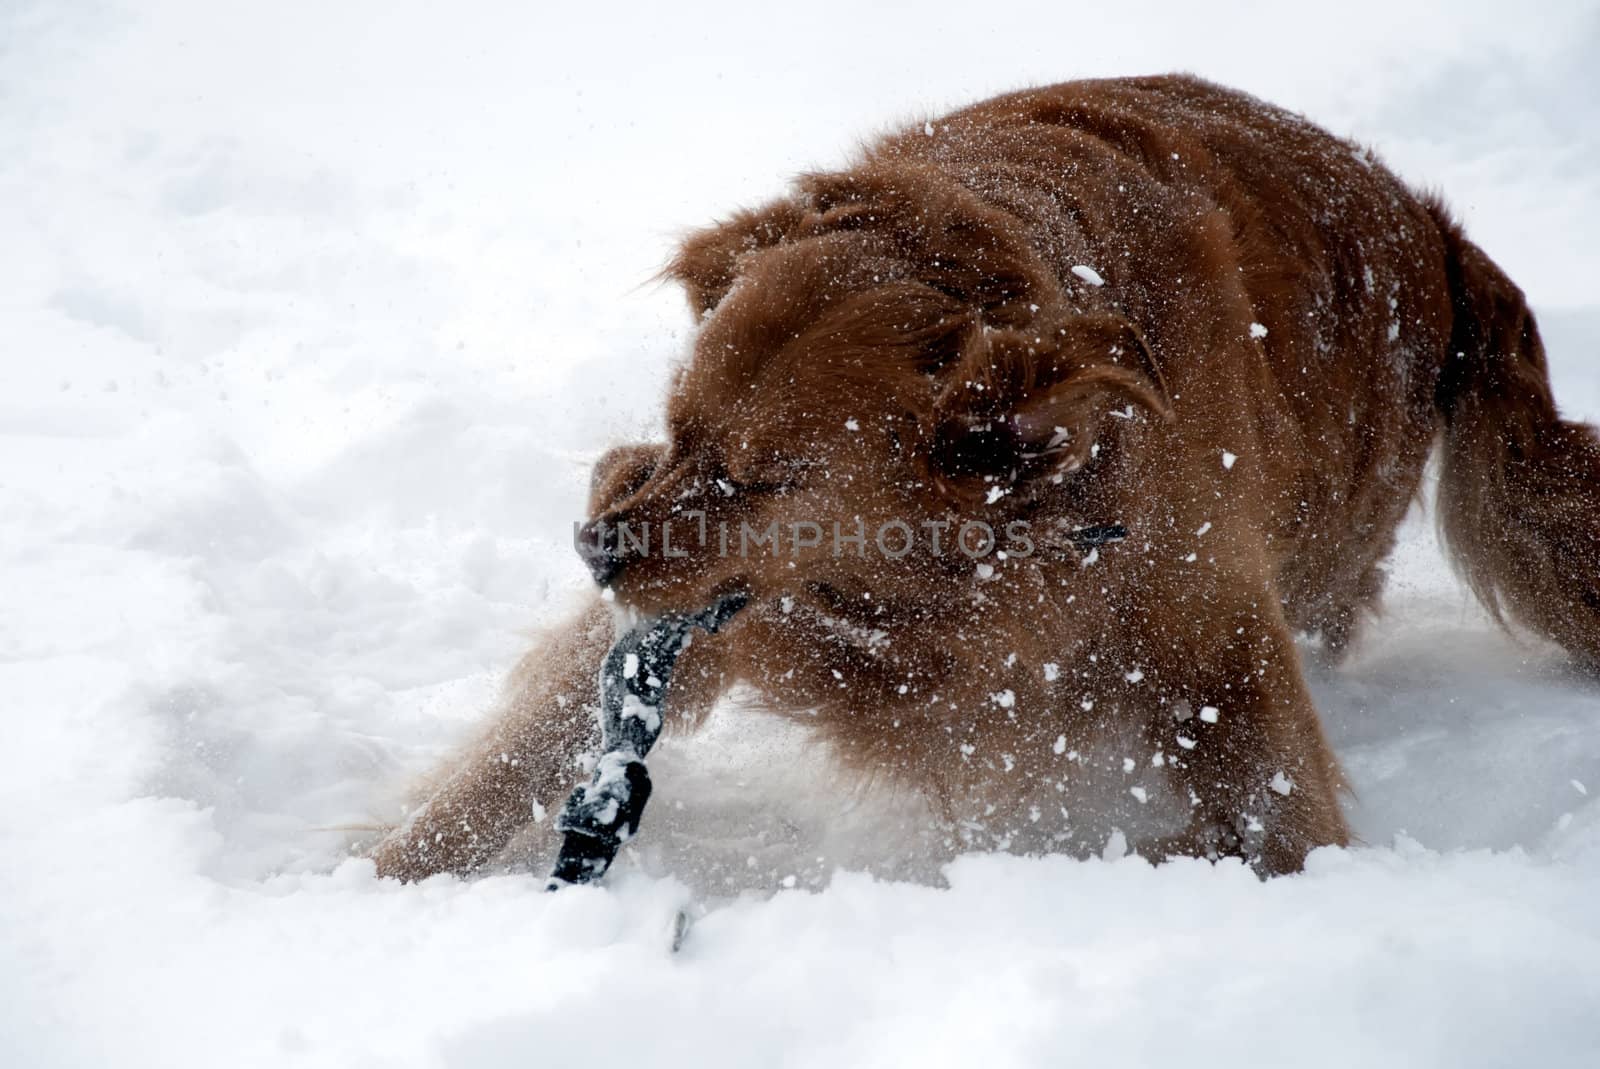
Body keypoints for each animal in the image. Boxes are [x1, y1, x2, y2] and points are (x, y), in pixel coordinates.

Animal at [371, 73, 1600, 876]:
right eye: (675, 426)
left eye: (768, 479)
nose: (597, 548)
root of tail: (1436, 229)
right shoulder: (722, 611)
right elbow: (505, 764)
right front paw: (379, 883)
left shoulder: (1221, 640)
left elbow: (1276, 817)